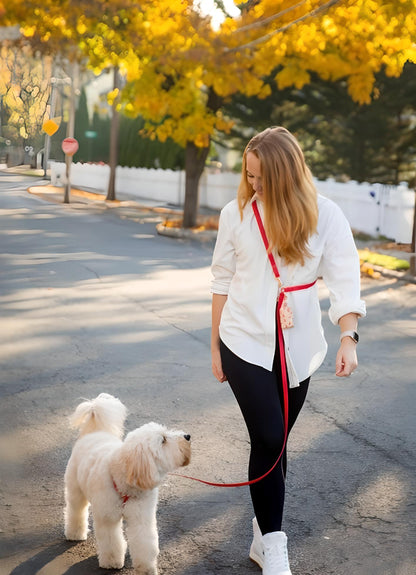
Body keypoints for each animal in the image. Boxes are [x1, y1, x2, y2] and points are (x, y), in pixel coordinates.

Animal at [63, 394, 192, 572]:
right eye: (163, 440)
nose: (188, 436)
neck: (125, 482)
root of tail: (94, 432)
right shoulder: (107, 518)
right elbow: (111, 542)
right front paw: (111, 562)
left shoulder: (141, 518)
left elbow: (144, 544)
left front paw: (146, 568)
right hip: (75, 490)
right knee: (75, 510)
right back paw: (75, 533)